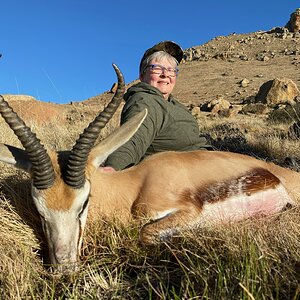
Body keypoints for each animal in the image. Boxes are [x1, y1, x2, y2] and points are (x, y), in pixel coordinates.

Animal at [0, 64, 298, 274]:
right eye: (39, 208)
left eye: (83, 203)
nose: (63, 268)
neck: (132, 187)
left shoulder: (184, 211)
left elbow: (145, 233)